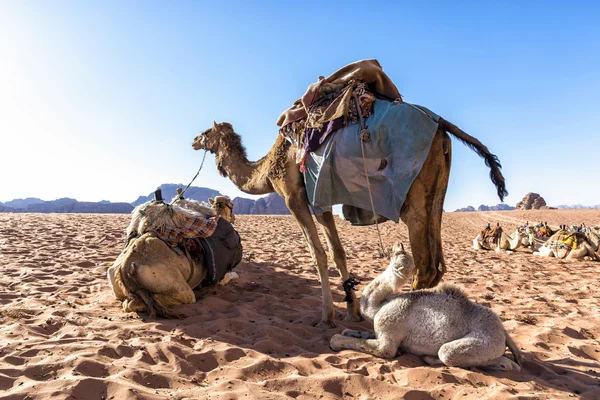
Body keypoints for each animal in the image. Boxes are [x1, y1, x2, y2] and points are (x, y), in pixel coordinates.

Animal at [108, 195, 241, 318]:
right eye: (232, 206)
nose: (234, 218)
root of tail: (126, 267)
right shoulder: (221, 276)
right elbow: (231, 276)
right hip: (178, 288)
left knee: (130, 302)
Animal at [193, 116, 506, 328]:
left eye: (207, 131)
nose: (194, 139)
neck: (267, 169)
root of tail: (440, 124)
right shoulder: (320, 201)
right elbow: (337, 251)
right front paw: (352, 311)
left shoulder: (293, 196)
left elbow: (318, 254)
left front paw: (326, 317)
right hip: (437, 191)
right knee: (438, 263)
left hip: (413, 196)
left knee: (426, 265)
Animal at [330, 241, 524, 372]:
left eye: (397, 254)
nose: (397, 243)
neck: (378, 307)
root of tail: (502, 330)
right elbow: (354, 333)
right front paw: (350, 331)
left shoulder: (389, 334)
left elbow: (380, 349)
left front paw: (336, 341)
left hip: (484, 341)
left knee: (450, 354)